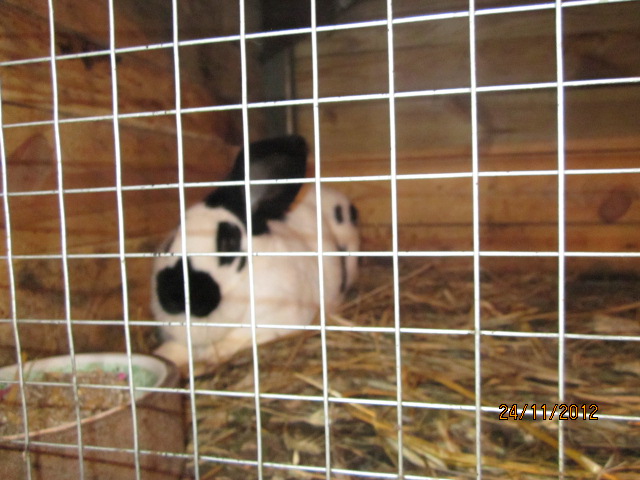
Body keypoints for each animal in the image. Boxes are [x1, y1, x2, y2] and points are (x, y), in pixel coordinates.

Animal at [151, 135, 359, 369]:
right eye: (171, 239)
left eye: (229, 242)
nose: (172, 294)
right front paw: (163, 355)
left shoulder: (275, 321)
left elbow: (240, 339)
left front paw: (213, 355)